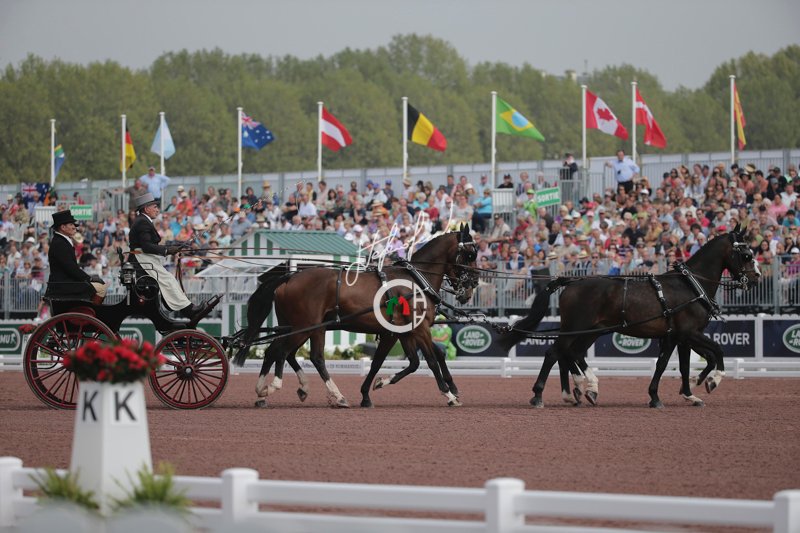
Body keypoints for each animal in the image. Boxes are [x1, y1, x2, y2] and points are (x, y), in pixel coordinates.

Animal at [231, 224, 478, 408]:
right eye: (469, 254)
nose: (472, 287)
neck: (414, 280)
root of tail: (289, 277)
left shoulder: (401, 332)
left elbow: (404, 362)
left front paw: (372, 389)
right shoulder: (418, 329)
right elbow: (430, 361)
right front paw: (450, 395)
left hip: (302, 327)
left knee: (292, 354)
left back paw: (285, 391)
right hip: (306, 326)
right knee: (285, 352)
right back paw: (275, 387)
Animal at [497, 225, 761, 408]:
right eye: (746, 254)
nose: (756, 277)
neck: (690, 286)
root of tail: (571, 281)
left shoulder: (678, 337)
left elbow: (679, 365)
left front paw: (687, 392)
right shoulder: (689, 333)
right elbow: (716, 351)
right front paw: (712, 381)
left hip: (589, 331)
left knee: (569, 353)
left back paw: (583, 389)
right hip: (577, 328)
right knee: (556, 352)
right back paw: (544, 394)